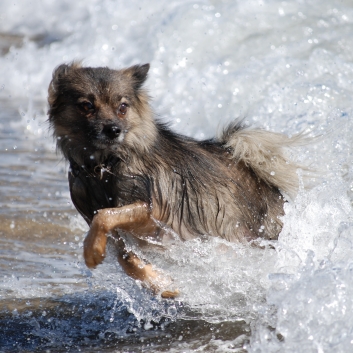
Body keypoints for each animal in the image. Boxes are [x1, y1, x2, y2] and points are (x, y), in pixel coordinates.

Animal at [47, 62, 302, 296]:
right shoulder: (120, 233)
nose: (113, 130)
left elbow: (106, 215)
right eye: (87, 106)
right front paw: (161, 284)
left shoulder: (152, 212)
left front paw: (91, 251)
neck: (103, 166)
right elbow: (126, 258)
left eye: (122, 107)